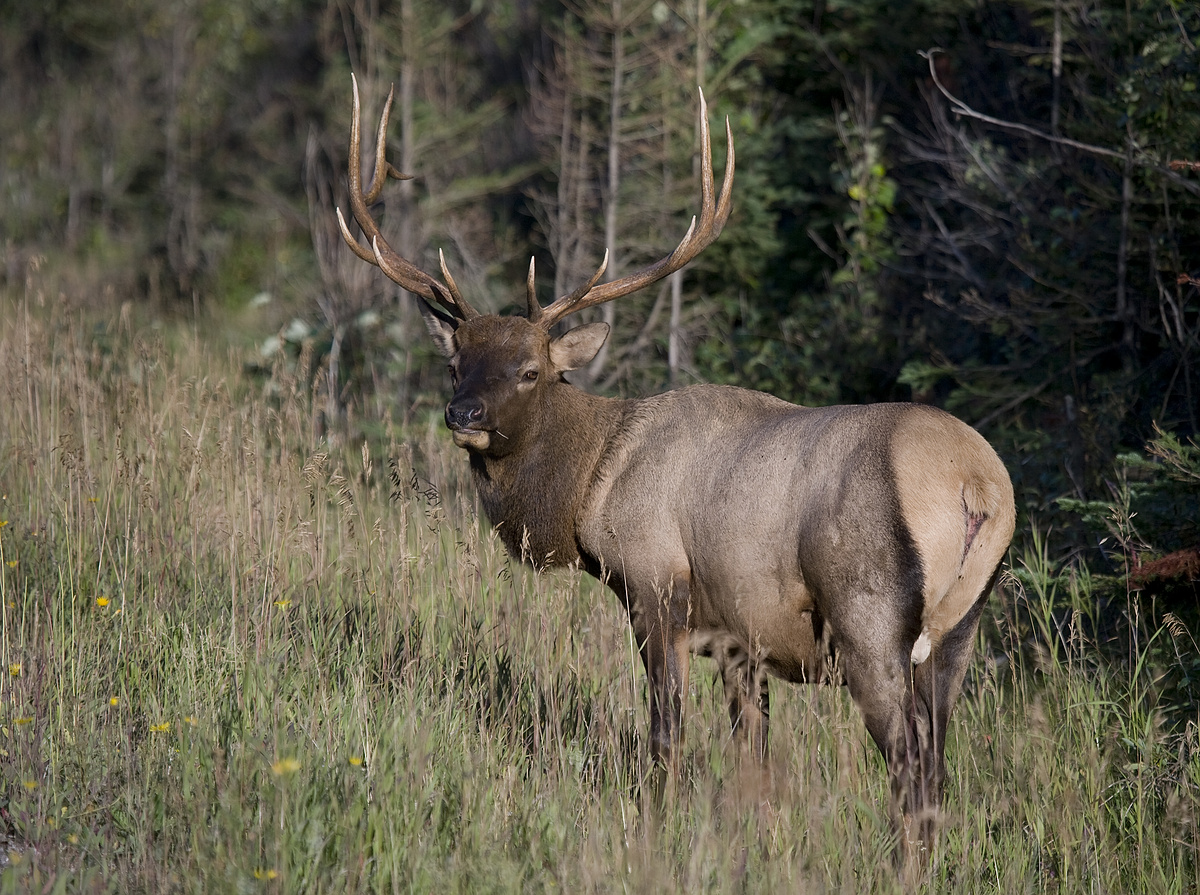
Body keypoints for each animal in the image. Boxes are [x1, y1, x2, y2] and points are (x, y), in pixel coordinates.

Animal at [336, 74, 1012, 859]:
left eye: (531, 370)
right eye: (455, 362)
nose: (463, 414)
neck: (589, 485)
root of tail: (978, 487)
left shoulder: (655, 584)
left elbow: (666, 735)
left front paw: (654, 829)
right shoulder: (741, 637)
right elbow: (753, 758)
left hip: (867, 611)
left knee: (909, 767)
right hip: (959, 629)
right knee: (936, 764)